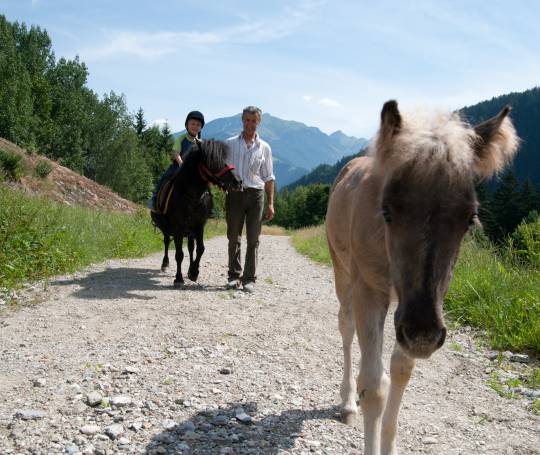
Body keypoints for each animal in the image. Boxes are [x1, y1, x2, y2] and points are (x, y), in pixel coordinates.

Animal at [149, 141, 239, 286]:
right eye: (211, 160)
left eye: (224, 159)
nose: (236, 181)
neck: (192, 197)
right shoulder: (178, 227)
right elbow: (179, 253)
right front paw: (179, 278)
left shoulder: (199, 226)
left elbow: (200, 249)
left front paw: (193, 272)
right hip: (167, 228)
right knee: (167, 242)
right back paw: (165, 264)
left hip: (190, 231)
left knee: (191, 248)